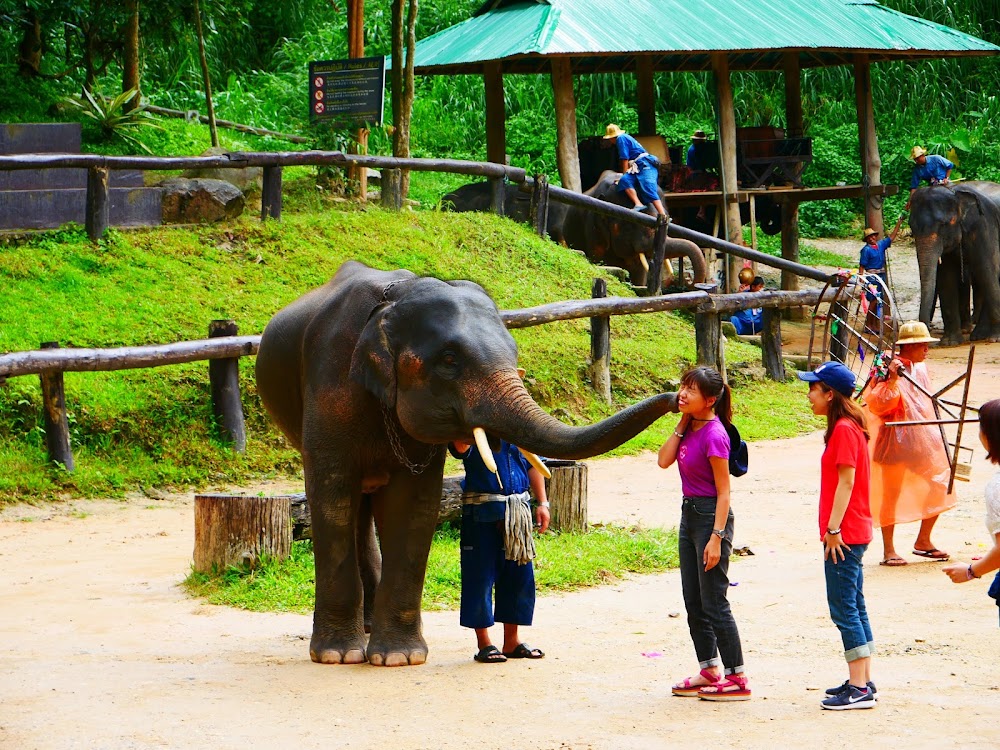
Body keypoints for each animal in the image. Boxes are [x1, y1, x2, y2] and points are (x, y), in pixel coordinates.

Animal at [255, 261, 679, 666]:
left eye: (514, 352)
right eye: (448, 360)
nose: (677, 396)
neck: (394, 300)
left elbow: (413, 506)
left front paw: (398, 658)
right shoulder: (332, 387)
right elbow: (332, 500)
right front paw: (338, 656)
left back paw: (371, 628)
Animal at [909, 182, 1000, 345]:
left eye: (943, 224)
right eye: (911, 227)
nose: (926, 336)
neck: (955, 192)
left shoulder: (984, 226)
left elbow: (988, 270)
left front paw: (995, 338)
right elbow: (946, 279)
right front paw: (950, 342)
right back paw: (978, 335)